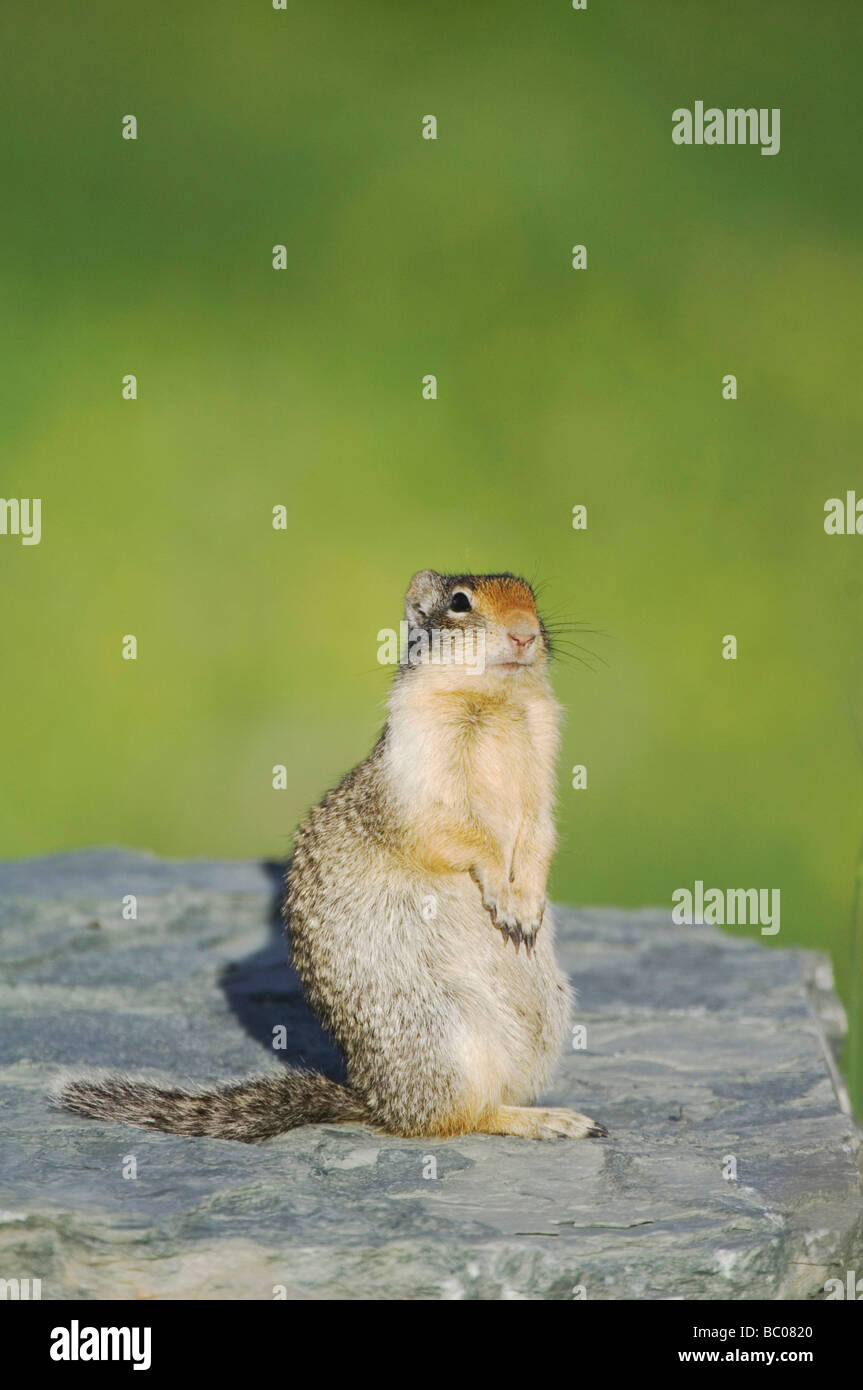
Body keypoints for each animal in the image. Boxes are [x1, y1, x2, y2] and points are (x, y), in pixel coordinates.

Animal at [57, 569, 605, 1145]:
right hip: (449, 1039)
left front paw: (528, 903)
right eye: (460, 603)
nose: (524, 633)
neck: (497, 703)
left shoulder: (542, 783)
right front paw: (505, 893)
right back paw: (541, 1119)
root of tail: (374, 1101)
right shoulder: (421, 784)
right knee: (457, 1118)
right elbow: (466, 836)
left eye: (533, 600)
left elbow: (540, 836)